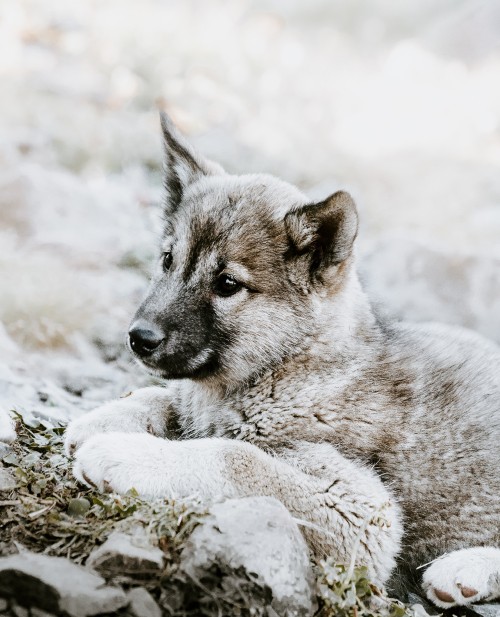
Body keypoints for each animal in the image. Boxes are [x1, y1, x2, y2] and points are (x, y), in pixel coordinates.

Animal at [65, 112, 500, 608]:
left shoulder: (361, 510)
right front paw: (101, 420)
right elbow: (162, 397)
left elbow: (234, 455)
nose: (139, 338)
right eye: (168, 260)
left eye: (228, 284)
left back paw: (465, 569)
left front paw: (120, 453)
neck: (290, 367)